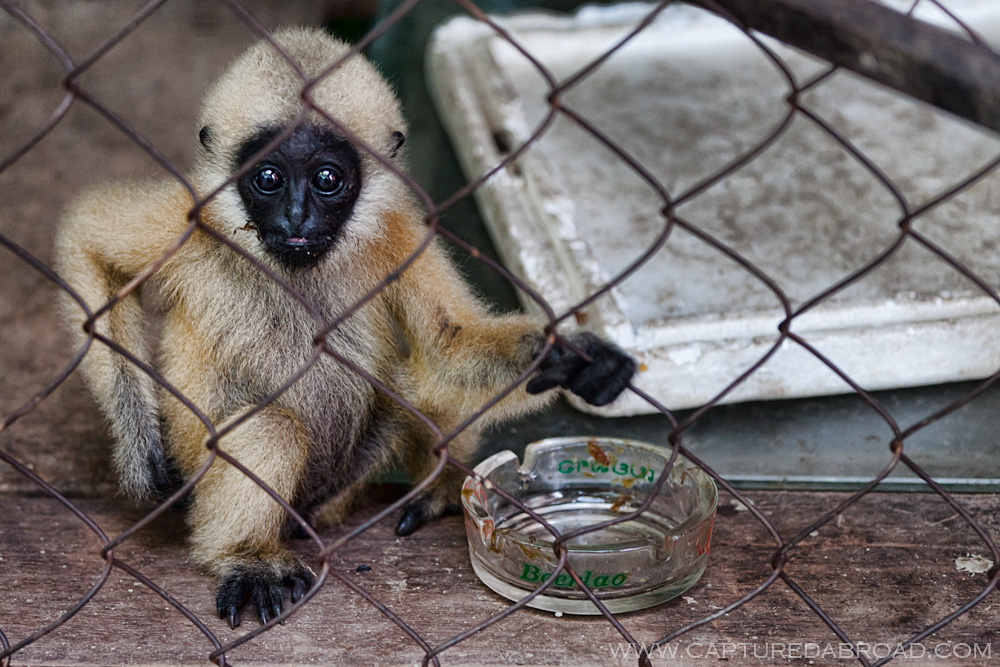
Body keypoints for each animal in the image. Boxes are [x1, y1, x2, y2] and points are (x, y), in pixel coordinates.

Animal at [55, 27, 636, 629]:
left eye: (327, 179)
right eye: (268, 178)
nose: (295, 216)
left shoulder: (403, 231)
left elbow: (448, 346)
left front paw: (572, 361)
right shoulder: (192, 219)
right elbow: (87, 241)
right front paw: (139, 447)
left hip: (349, 476)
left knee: (414, 382)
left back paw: (440, 486)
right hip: (203, 465)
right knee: (273, 426)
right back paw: (246, 556)